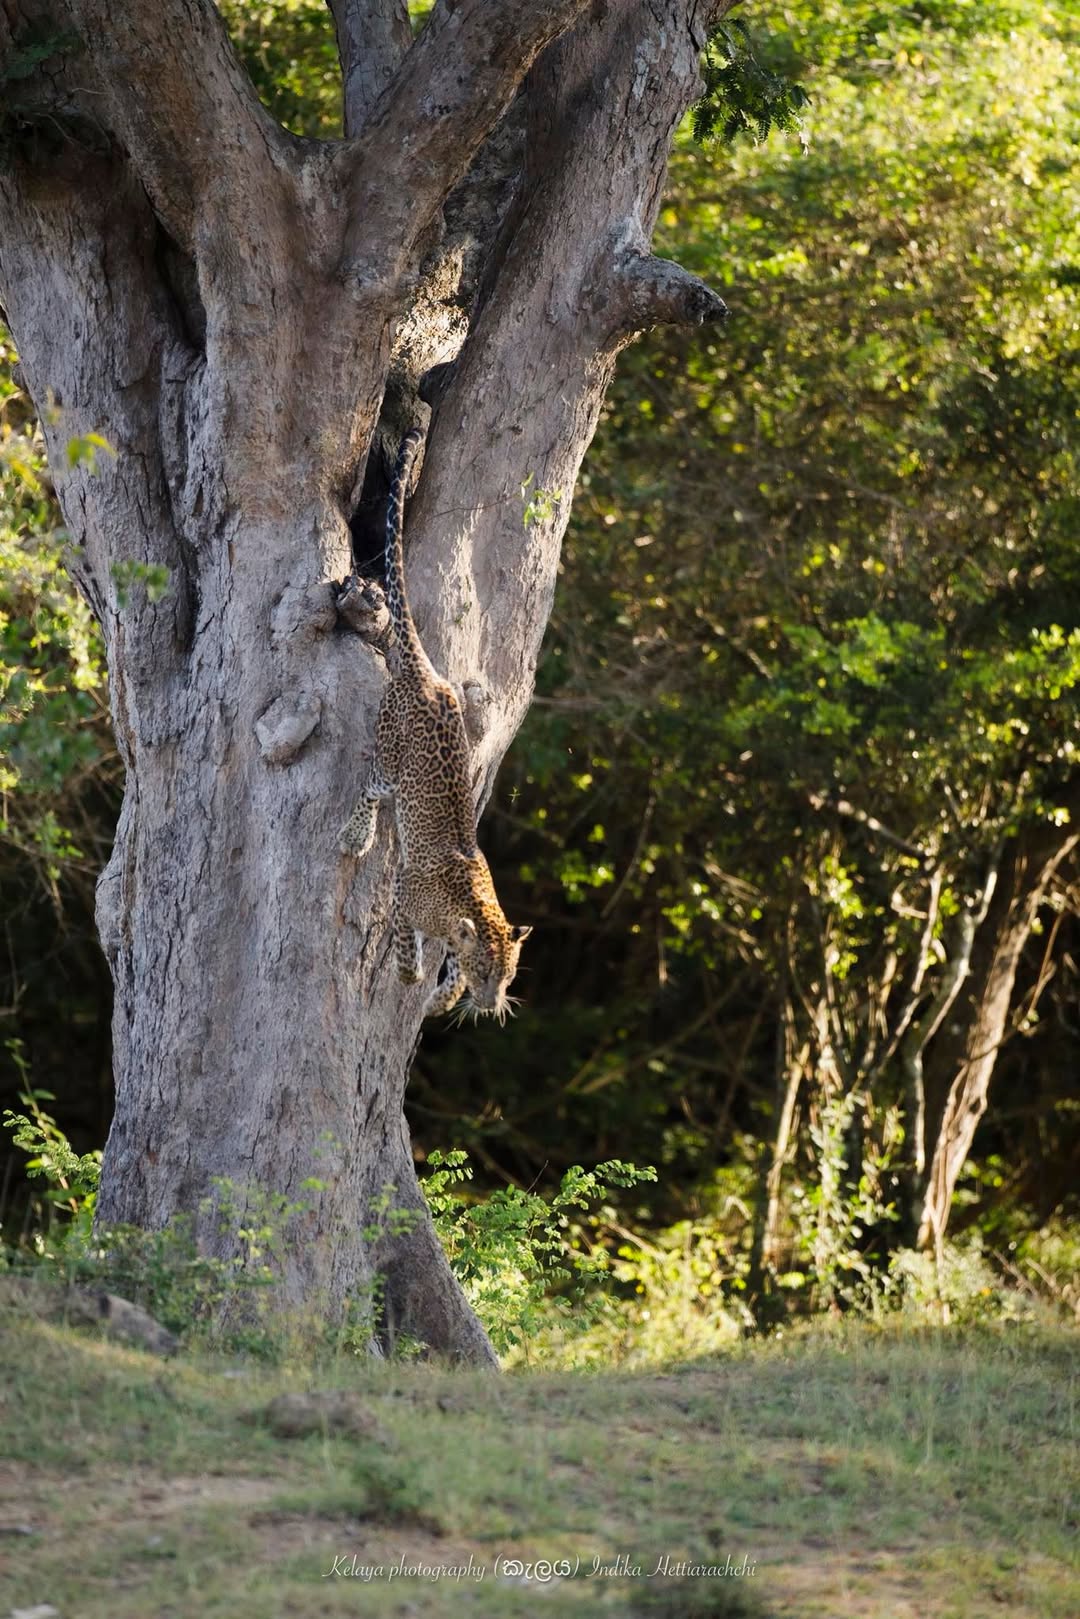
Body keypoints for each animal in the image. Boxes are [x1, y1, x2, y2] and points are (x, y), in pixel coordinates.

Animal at [340, 427, 531, 1022]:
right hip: (390, 760)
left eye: (508, 974)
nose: (493, 1003)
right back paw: (356, 835)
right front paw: (411, 974)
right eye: (488, 973)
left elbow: (448, 967)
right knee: (370, 787)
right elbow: (406, 941)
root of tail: (428, 675)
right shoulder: (406, 898)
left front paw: (445, 998)